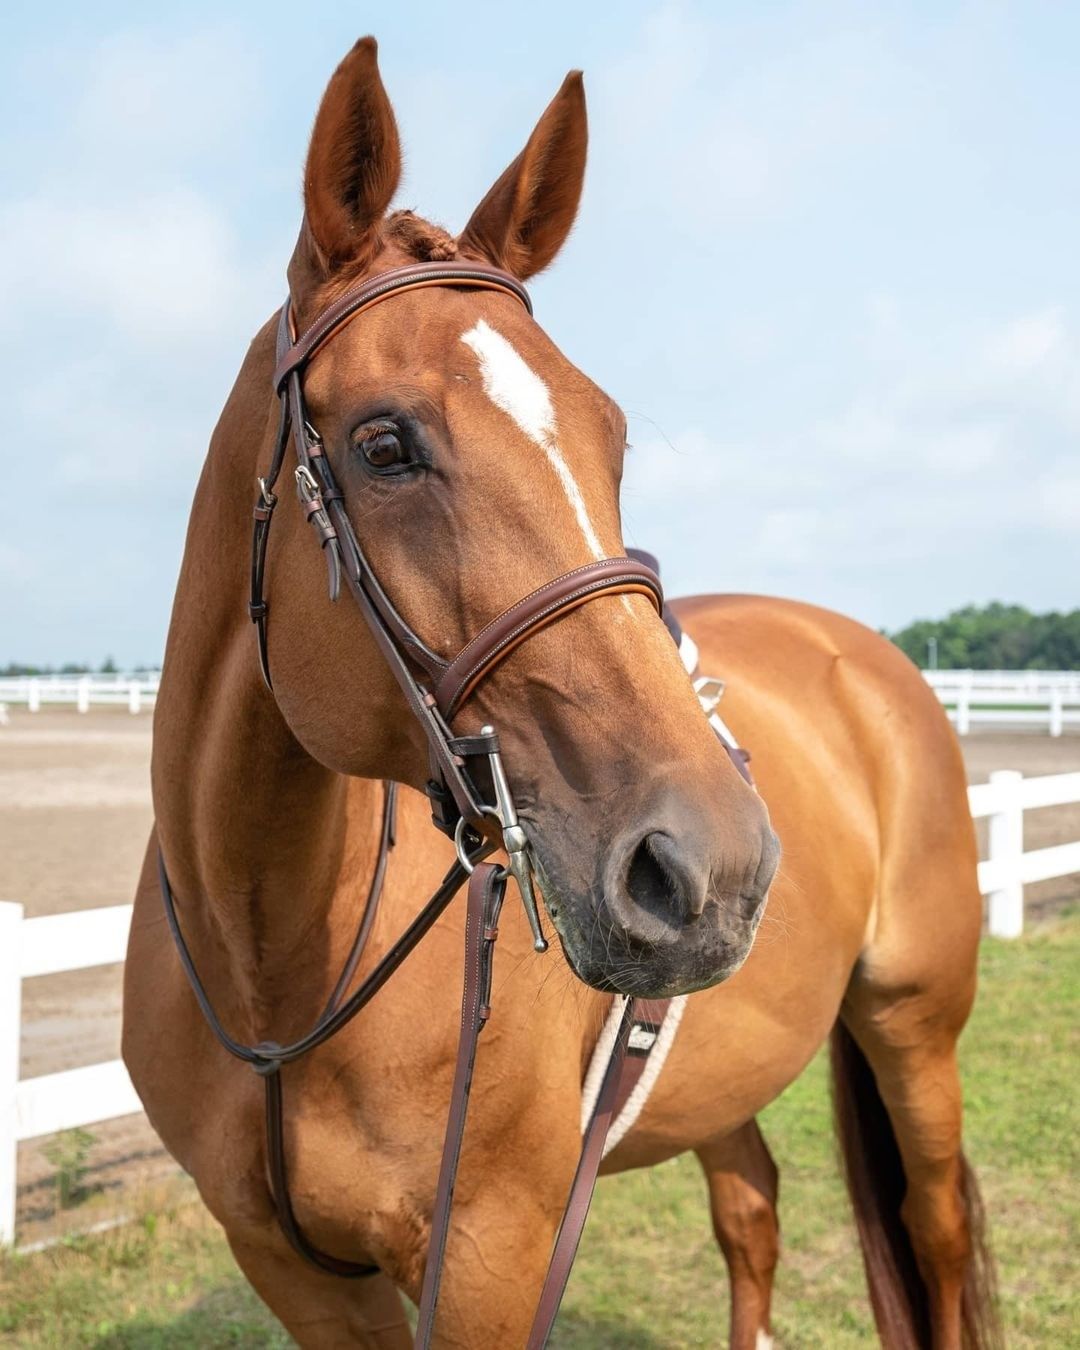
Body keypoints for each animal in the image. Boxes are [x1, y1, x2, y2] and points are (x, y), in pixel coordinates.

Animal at [123, 37, 999, 1349]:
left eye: (612, 436)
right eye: (384, 446)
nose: (714, 865)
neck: (275, 974)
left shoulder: (490, 1258)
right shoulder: (297, 1274)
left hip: (914, 1026)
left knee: (933, 1233)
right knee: (752, 1210)